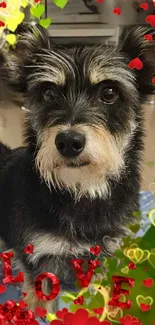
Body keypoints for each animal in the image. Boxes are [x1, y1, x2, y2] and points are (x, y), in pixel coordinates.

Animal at [0, 24, 154, 312]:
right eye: (48, 93)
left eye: (109, 93)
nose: (69, 142)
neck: (80, 188)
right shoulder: (37, 253)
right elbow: (39, 293)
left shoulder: (105, 251)